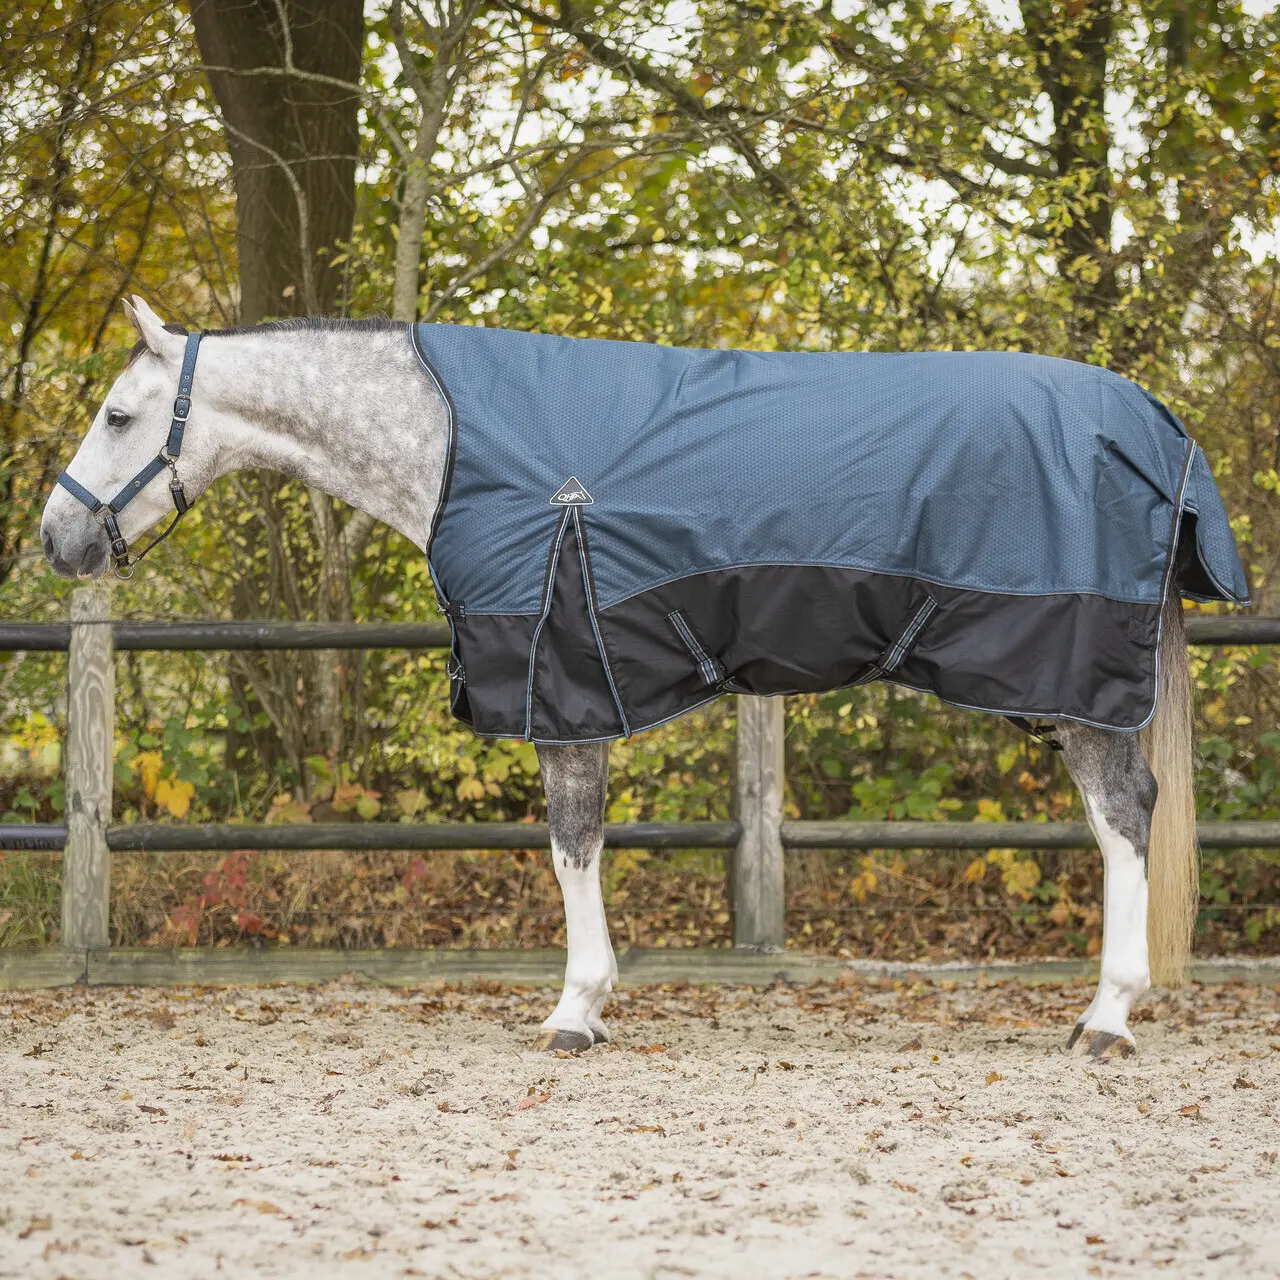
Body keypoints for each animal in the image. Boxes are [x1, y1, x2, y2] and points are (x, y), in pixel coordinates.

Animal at [41, 296, 1249, 1060]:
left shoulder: (561, 681)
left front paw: (576, 1010)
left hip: (1071, 675)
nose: (57, 538)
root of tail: (1156, 422)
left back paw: (1107, 1017)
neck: (452, 441)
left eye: (116, 415)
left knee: (1123, 816)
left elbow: (570, 844)